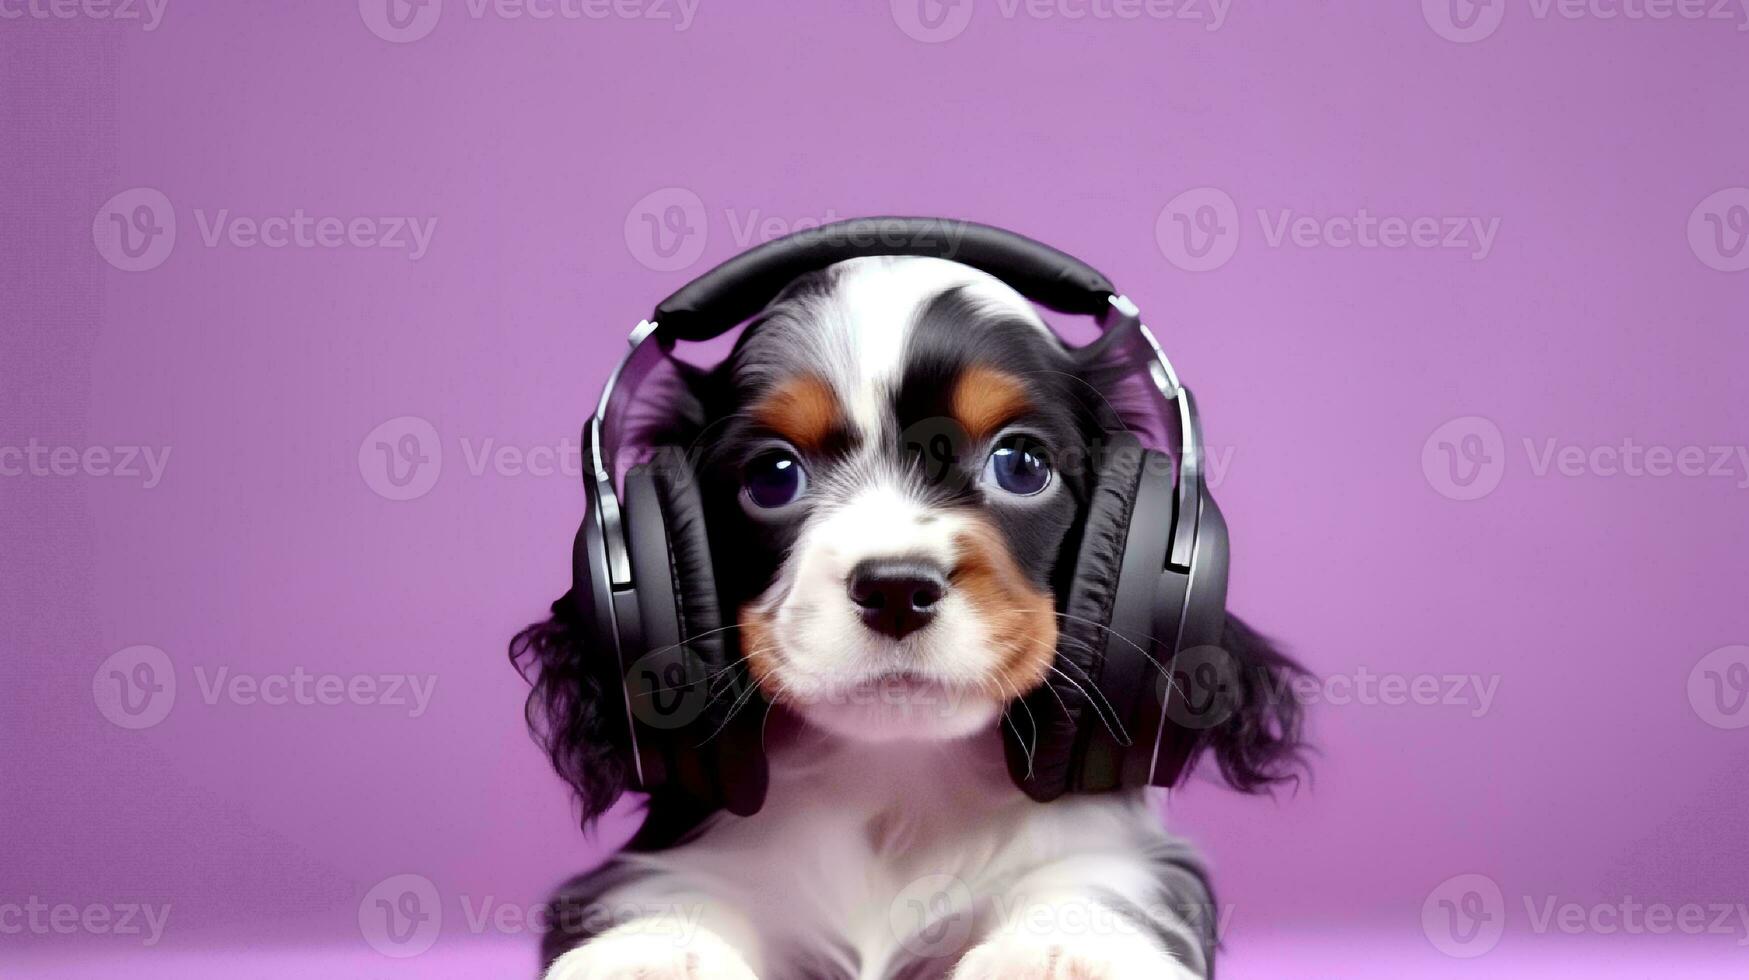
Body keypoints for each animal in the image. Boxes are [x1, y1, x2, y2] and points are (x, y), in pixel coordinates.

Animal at [507, 257, 1301, 973]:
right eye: (772, 477)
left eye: (1021, 465)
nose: (895, 588)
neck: (898, 779)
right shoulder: (684, 855)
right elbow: (667, 898)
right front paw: (649, 958)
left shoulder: (1112, 850)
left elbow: (1097, 882)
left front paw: (1061, 950)